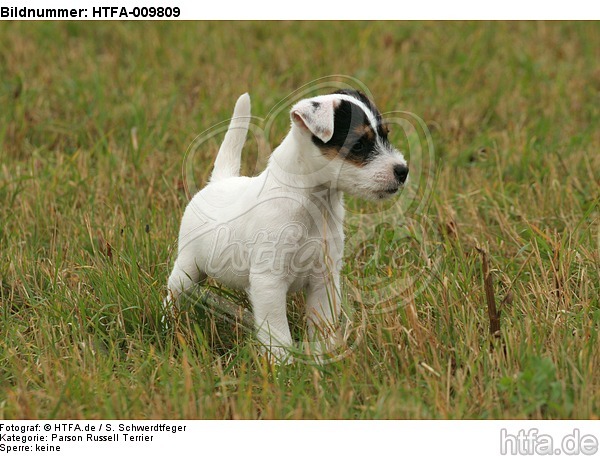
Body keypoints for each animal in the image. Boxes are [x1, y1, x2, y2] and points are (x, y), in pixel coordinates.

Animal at [164, 88, 408, 360]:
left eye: (385, 134)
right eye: (358, 144)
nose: (403, 171)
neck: (315, 204)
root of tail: (218, 182)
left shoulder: (324, 279)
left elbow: (322, 323)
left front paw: (322, 356)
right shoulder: (269, 281)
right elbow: (277, 332)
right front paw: (283, 363)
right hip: (188, 268)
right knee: (173, 292)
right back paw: (169, 323)